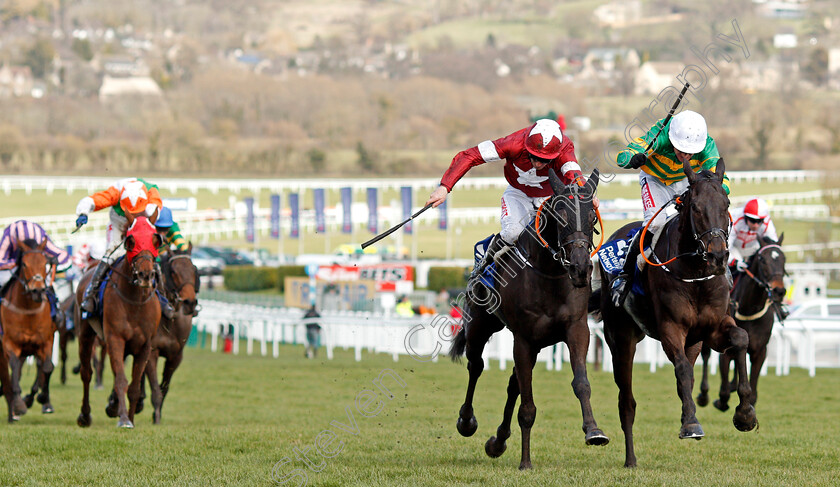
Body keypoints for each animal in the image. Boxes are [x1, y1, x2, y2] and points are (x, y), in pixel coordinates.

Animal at [0, 238, 57, 418]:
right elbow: (14, 366)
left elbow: (47, 367)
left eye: (45, 263)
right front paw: (18, 403)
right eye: (24, 264)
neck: (28, 311)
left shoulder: (46, 340)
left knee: (41, 367)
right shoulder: (10, 342)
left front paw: (42, 397)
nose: (37, 290)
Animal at [75, 219, 162, 428]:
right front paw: (123, 419)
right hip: (85, 334)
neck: (135, 302)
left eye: (156, 241)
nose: (145, 275)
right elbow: (121, 380)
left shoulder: (145, 345)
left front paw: (130, 417)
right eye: (131, 242)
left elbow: (135, 385)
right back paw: (85, 415)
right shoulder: (115, 339)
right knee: (86, 373)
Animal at [450, 170, 608, 470]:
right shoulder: (523, 338)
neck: (549, 274)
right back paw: (466, 421)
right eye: (560, 216)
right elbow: (527, 407)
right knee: (476, 365)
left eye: (592, 217)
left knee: (514, 382)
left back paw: (498, 440)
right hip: (480, 325)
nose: (581, 268)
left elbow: (581, 383)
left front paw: (594, 430)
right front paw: (525, 462)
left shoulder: (576, 330)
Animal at [592, 158, 756, 468]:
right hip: (621, 338)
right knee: (627, 401)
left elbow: (740, 339)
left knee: (686, 377)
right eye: (696, 208)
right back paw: (630, 459)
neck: (696, 273)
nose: (718, 256)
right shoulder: (671, 327)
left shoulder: (711, 328)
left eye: (726, 203)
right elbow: (680, 369)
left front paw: (745, 414)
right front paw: (691, 425)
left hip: (693, 342)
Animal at [696, 234, 788, 410]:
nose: (779, 290)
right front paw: (720, 401)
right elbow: (723, 392)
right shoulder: (725, 349)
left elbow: (753, 393)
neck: (749, 309)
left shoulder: (760, 351)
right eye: (763, 259)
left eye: (783, 258)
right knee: (705, 355)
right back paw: (703, 394)